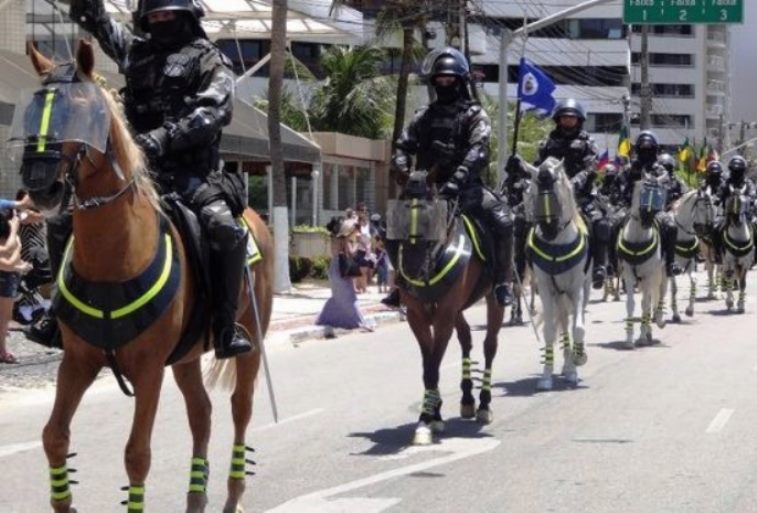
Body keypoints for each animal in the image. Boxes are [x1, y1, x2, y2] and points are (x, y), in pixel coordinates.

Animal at [17, 43, 272, 512]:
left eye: (82, 110)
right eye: (30, 112)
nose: (40, 187)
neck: (115, 256)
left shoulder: (149, 370)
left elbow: (137, 455)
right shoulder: (77, 362)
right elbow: (54, 437)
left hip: (249, 342)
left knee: (240, 408)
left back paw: (233, 496)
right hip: (187, 355)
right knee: (202, 413)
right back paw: (196, 497)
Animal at [390, 169, 502, 444]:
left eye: (431, 217)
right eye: (399, 214)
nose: (412, 269)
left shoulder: (443, 316)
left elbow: (433, 366)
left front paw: (427, 419)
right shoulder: (417, 316)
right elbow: (428, 365)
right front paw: (432, 415)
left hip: (493, 300)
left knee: (489, 346)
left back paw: (484, 404)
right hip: (457, 311)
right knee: (466, 338)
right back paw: (467, 398)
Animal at [524, 156, 592, 388]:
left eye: (554, 187)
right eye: (535, 190)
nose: (548, 230)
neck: (557, 245)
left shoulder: (576, 288)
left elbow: (579, 327)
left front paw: (579, 359)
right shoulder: (546, 288)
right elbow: (549, 331)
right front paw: (546, 375)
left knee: (572, 321)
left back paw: (571, 366)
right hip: (558, 295)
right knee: (562, 322)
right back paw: (566, 365)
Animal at [616, 174, 664, 346]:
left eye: (659, 195)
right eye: (643, 193)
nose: (647, 221)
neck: (637, 240)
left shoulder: (649, 275)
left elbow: (645, 304)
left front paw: (642, 336)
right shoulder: (629, 274)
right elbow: (631, 304)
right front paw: (629, 338)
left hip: (659, 274)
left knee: (658, 294)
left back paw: (656, 323)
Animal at [668, 188, 716, 320]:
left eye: (713, 207)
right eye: (702, 208)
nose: (709, 230)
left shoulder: (691, 263)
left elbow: (694, 282)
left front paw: (689, 309)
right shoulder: (672, 268)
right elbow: (674, 289)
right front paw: (675, 314)